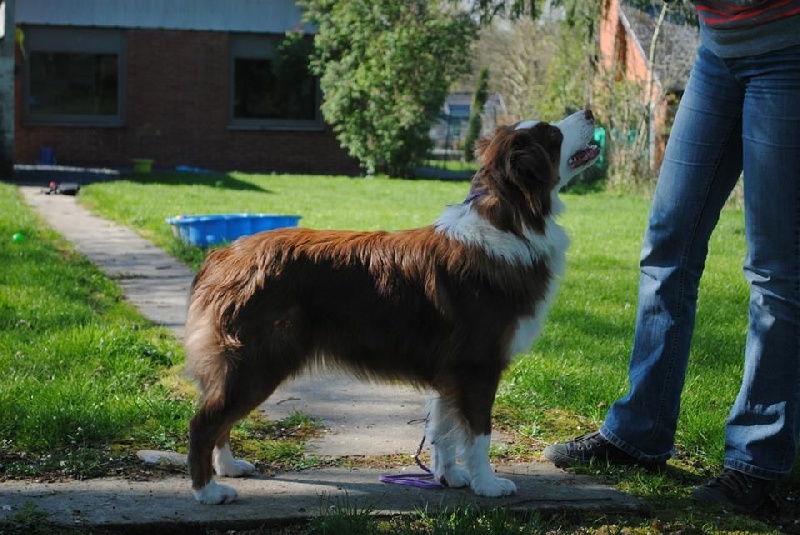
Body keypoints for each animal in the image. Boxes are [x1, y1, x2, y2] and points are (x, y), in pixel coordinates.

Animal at [186, 111, 600, 504]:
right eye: (552, 135)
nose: (590, 113)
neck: (512, 218)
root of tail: (222, 255)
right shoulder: (478, 364)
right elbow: (479, 433)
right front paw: (487, 484)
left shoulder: (452, 369)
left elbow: (443, 428)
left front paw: (448, 476)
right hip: (258, 360)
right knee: (204, 423)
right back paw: (208, 491)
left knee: (219, 419)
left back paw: (228, 467)